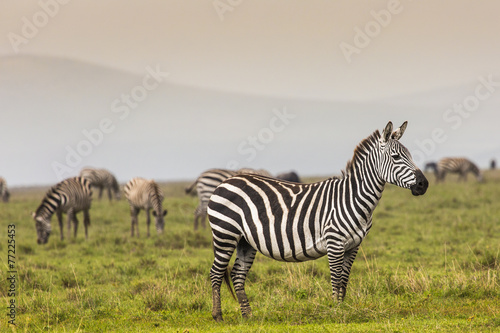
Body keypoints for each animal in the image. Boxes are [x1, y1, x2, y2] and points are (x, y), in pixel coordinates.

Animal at [205, 120, 428, 320]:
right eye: (396, 156)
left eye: (410, 155)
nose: (423, 184)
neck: (353, 197)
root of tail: (226, 181)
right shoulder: (334, 242)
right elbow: (336, 279)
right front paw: (336, 312)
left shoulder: (353, 246)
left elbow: (344, 279)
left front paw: (343, 309)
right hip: (225, 234)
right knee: (216, 272)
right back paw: (218, 316)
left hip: (246, 240)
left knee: (237, 275)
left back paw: (248, 316)